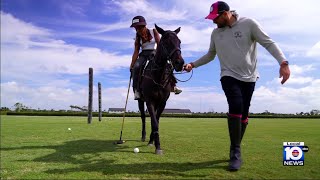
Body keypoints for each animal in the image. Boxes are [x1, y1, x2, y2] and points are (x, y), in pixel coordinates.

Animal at [140, 24, 185, 155]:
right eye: (166, 42)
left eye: (179, 41)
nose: (180, 62)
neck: (158, 76)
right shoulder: (149, 101)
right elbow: (154, 122)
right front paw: (158, 147)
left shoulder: (162, 102)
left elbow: (157, 121)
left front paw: (154, 142)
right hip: (140, 100)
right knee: (143, 117)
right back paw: (144, 136)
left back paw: (150, 140)